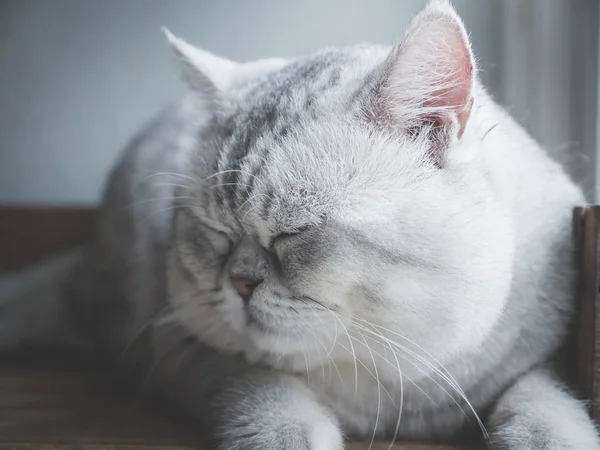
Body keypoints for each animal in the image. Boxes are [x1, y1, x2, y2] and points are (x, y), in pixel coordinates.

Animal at [1, 0, 600, 450]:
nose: (239, 283)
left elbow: (545, 406)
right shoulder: (187, 349)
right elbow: (267, 391)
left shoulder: (536, 358)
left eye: (294, 233)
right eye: (215, 232)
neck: (395, 387)